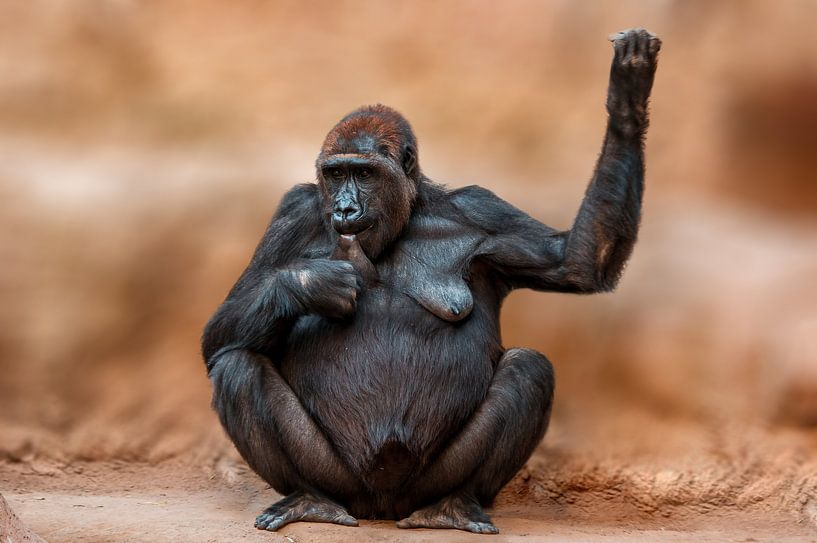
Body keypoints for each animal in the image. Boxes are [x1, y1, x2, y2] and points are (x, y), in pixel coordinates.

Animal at [202, 29, 660, 534]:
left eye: (364, 173)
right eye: (335, 174)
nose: (344, 208)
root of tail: (380, 509)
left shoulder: (482, 210)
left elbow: (575, 262)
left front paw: (627, 102)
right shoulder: (293, 210)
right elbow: (218, 333)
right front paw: (312, 284)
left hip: (424, 484)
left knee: (529, 370)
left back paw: (453, 504)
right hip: (342, 480)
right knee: (237, 366)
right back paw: (309, 497)